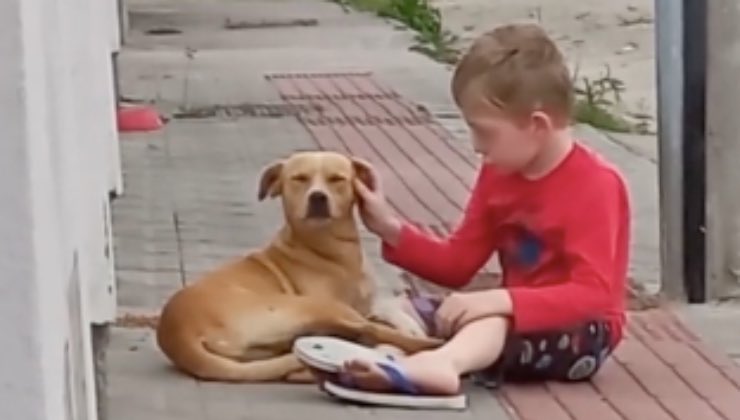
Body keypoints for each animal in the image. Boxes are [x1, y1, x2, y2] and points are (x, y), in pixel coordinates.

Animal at [155, 149, 440, 382]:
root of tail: (178, 333)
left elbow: (387, 309)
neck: (330, 250)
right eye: (299, 178)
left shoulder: (366, 305)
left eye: (337, 179)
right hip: (314, 306)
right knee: (371, 332)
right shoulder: (349, 308)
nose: (318, 197)